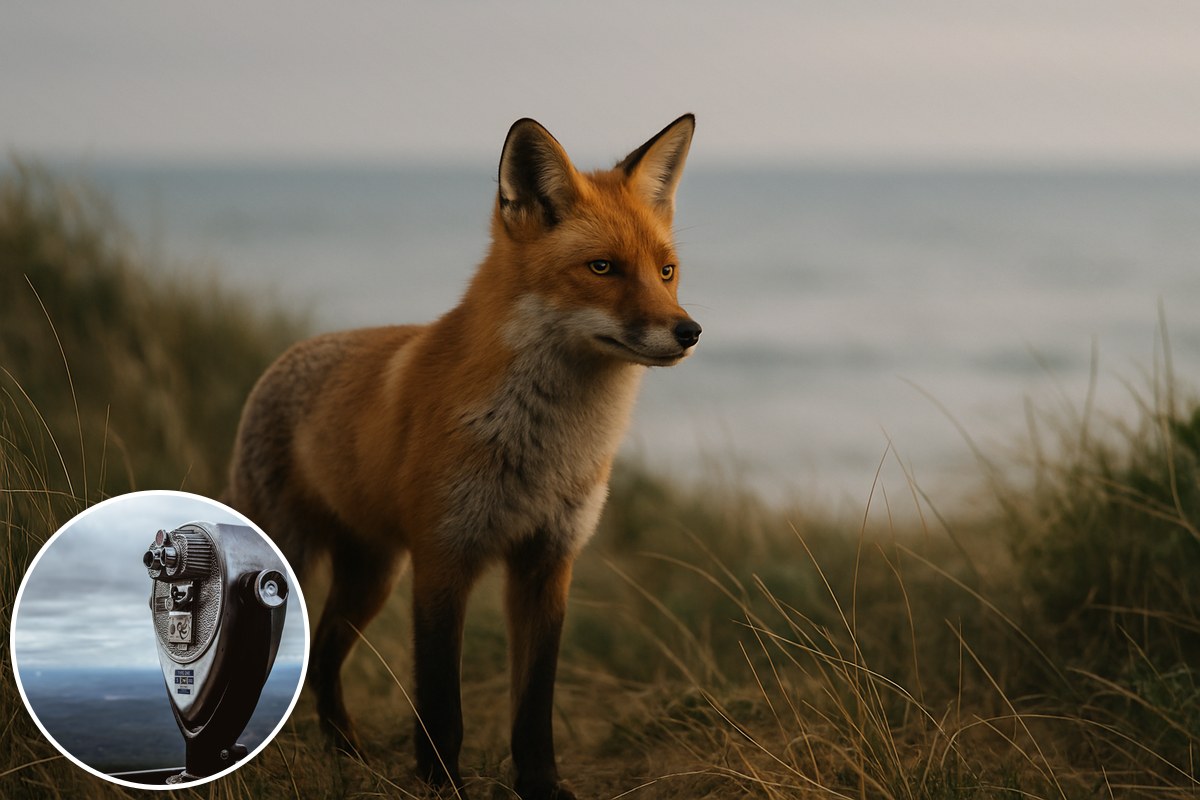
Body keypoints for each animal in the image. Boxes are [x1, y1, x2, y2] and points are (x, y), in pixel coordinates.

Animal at [226, 114, 699, 800]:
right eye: (603, 267)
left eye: (666, 271)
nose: (689, 332)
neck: (545, 447)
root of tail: (286, 356)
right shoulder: (444, 556)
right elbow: (441, 702)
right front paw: (440, 783)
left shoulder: (547, 561)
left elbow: (533, 705)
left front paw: (542, 785)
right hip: (305, 559)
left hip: (373, 575)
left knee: (325, 657)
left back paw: (346, 750)